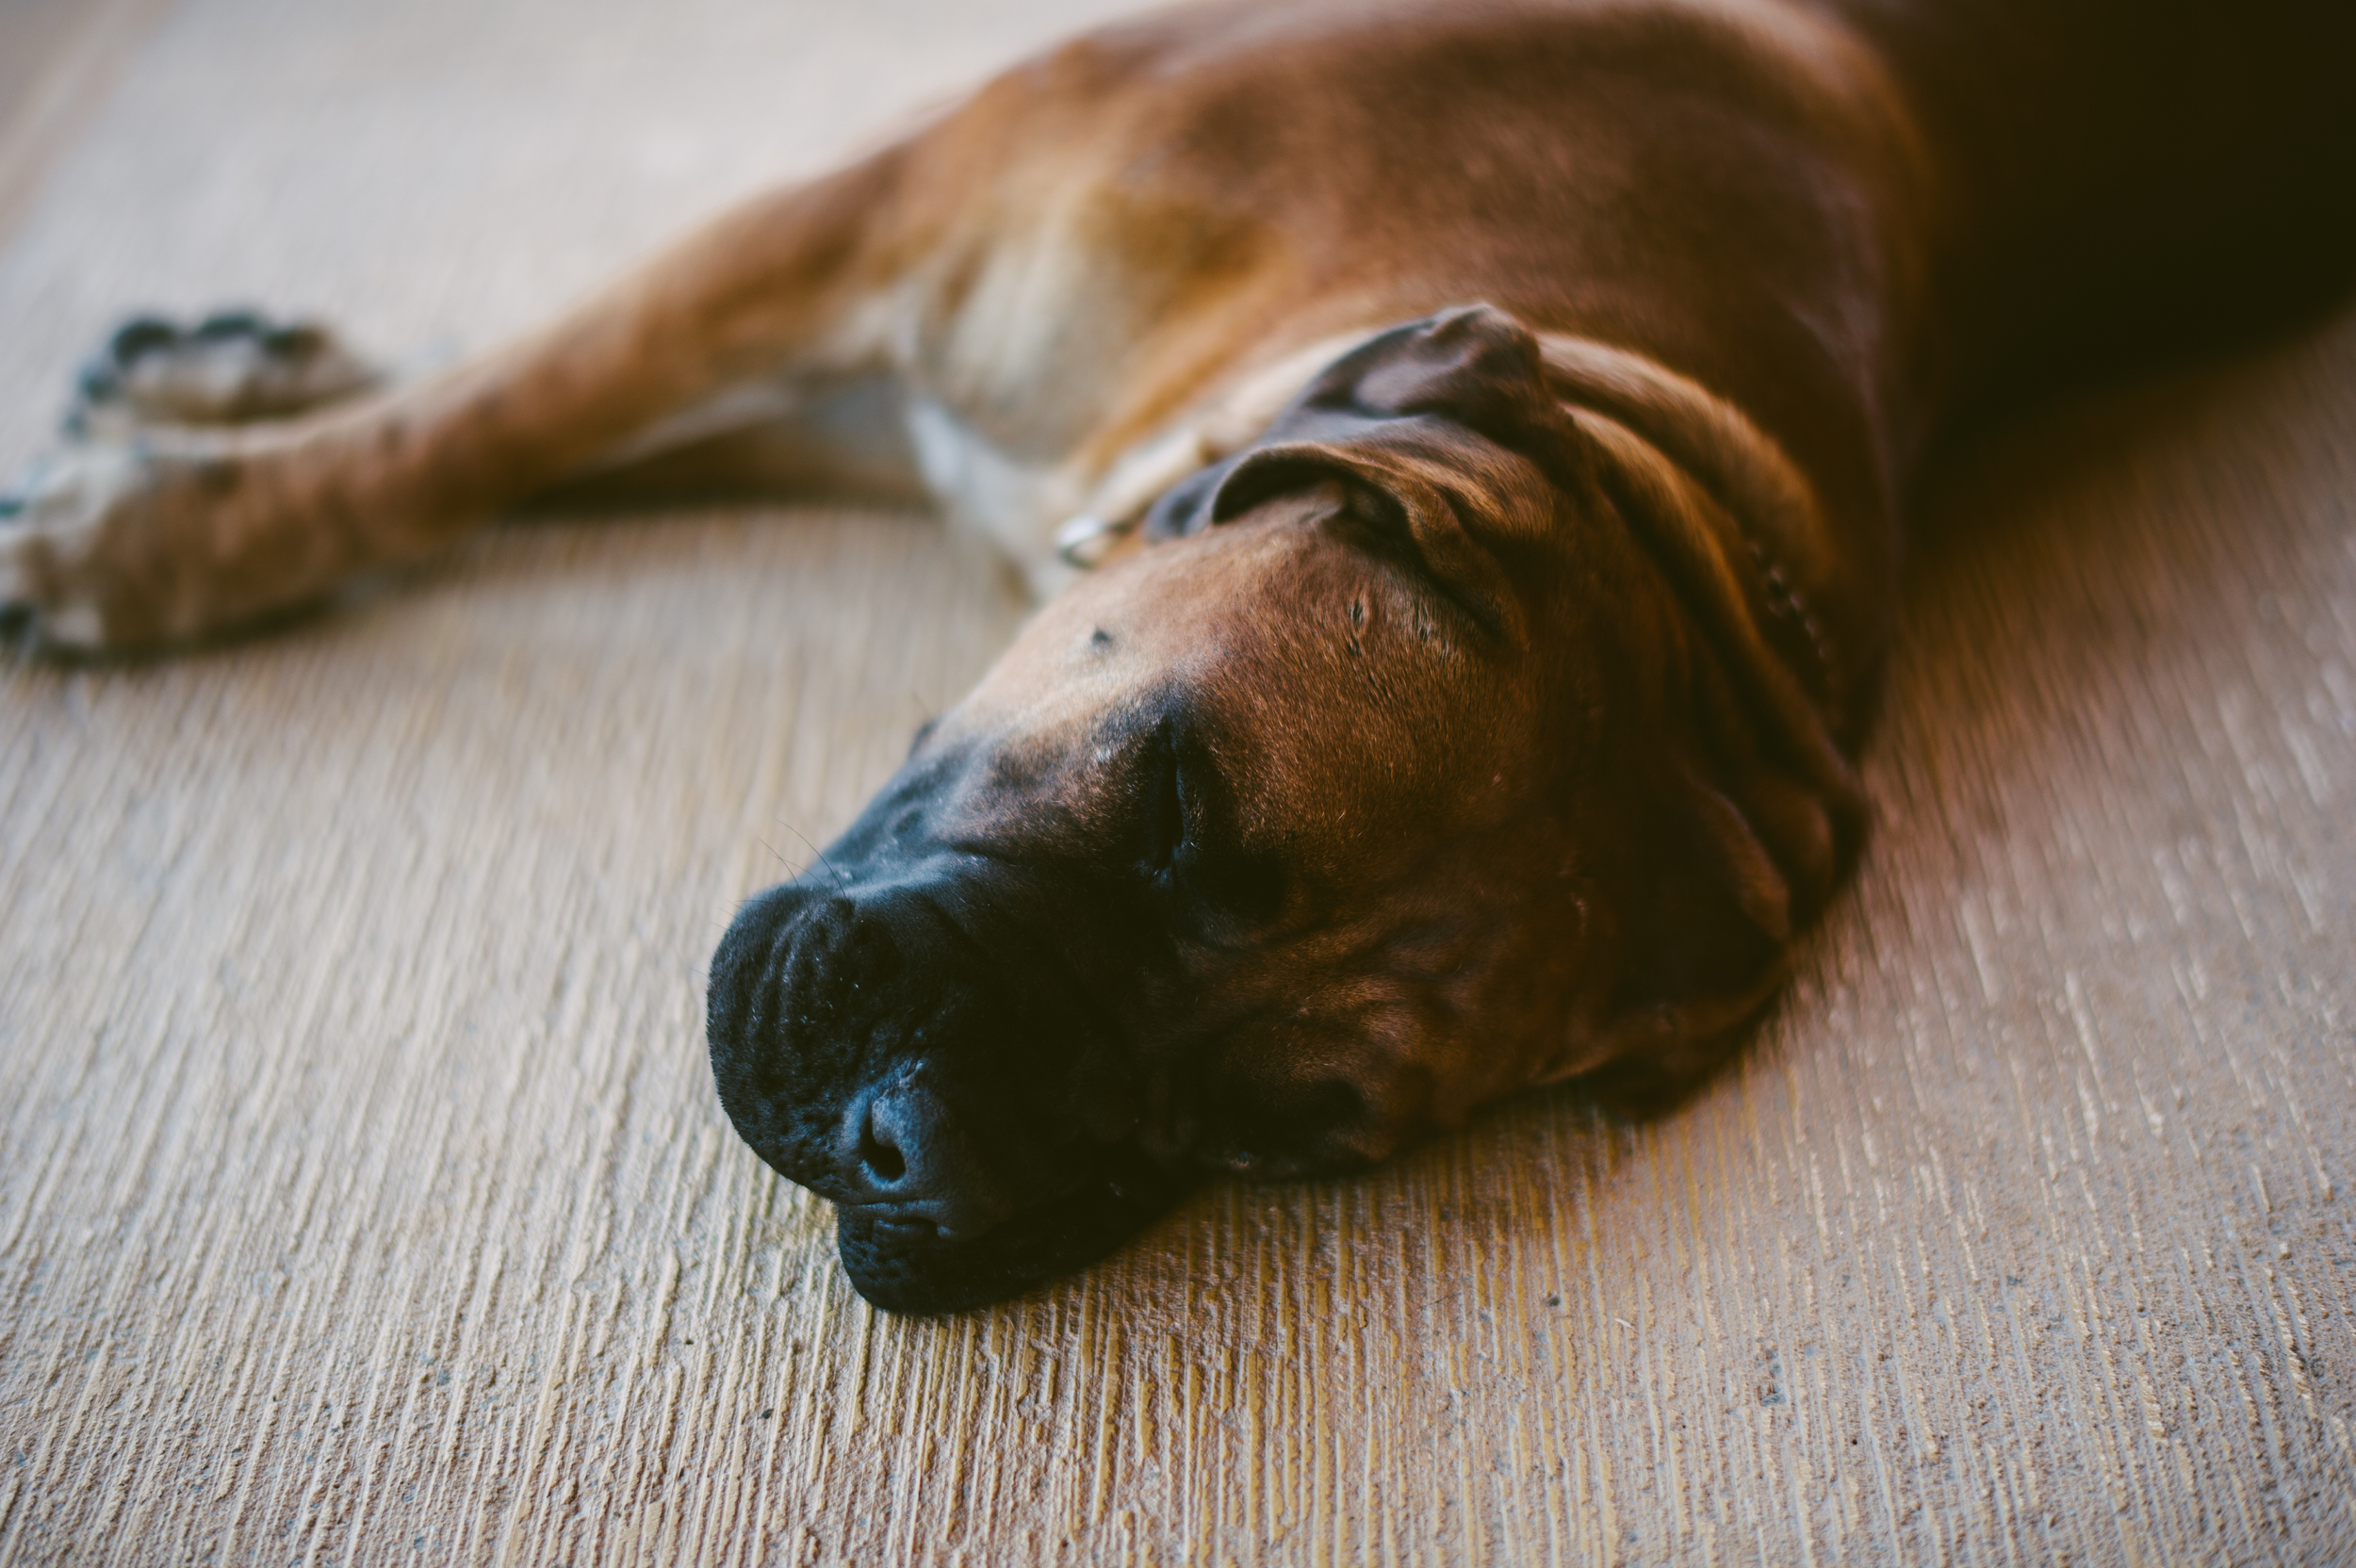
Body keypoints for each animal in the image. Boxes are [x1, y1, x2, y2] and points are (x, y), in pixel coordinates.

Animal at [4, 0, 2356, 1309]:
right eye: (1173, 792)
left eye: (1288, 1132)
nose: (907, 1154)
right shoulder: (871, 235)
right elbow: (501, 419)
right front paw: (166, 527)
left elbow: (544, 427)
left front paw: (169, 487)